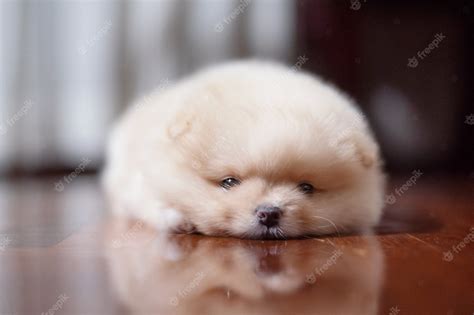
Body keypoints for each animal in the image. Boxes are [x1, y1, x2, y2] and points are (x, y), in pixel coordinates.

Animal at [103, 60, 386, 239]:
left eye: (307, 187)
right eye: (229, 182)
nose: (269, 213)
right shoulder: (140, 179)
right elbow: (154, 201)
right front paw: (179, 220)